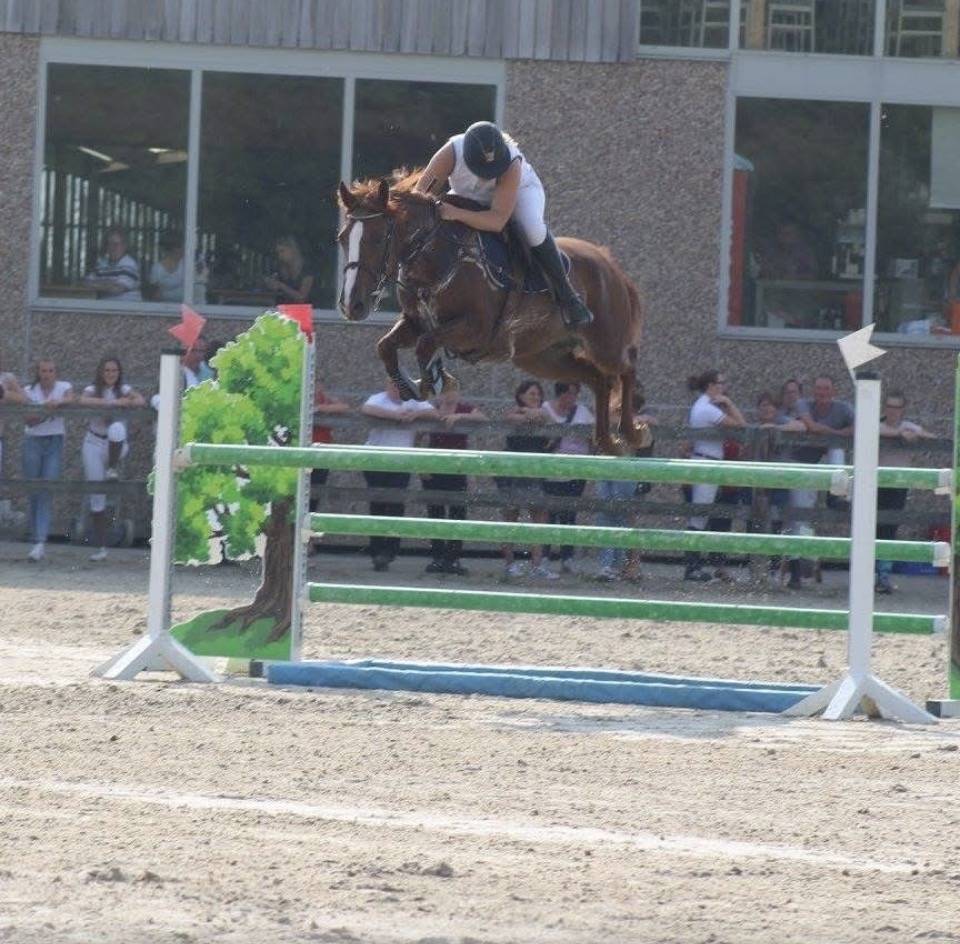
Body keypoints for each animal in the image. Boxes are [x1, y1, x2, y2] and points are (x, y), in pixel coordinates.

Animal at [336, 171, 648, 455]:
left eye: (378, 240)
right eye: (342, 239)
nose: (353, 305)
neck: (437, 258)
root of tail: (608, 262)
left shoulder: (476, 328)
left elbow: (426, 344)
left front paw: (433, 382)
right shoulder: (415, 322)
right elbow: (386, 346)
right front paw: (410, 388)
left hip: (605, 343)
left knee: (626, 368)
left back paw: (632, 433)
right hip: (541, 357)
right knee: (597, 379)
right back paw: (607, 441)